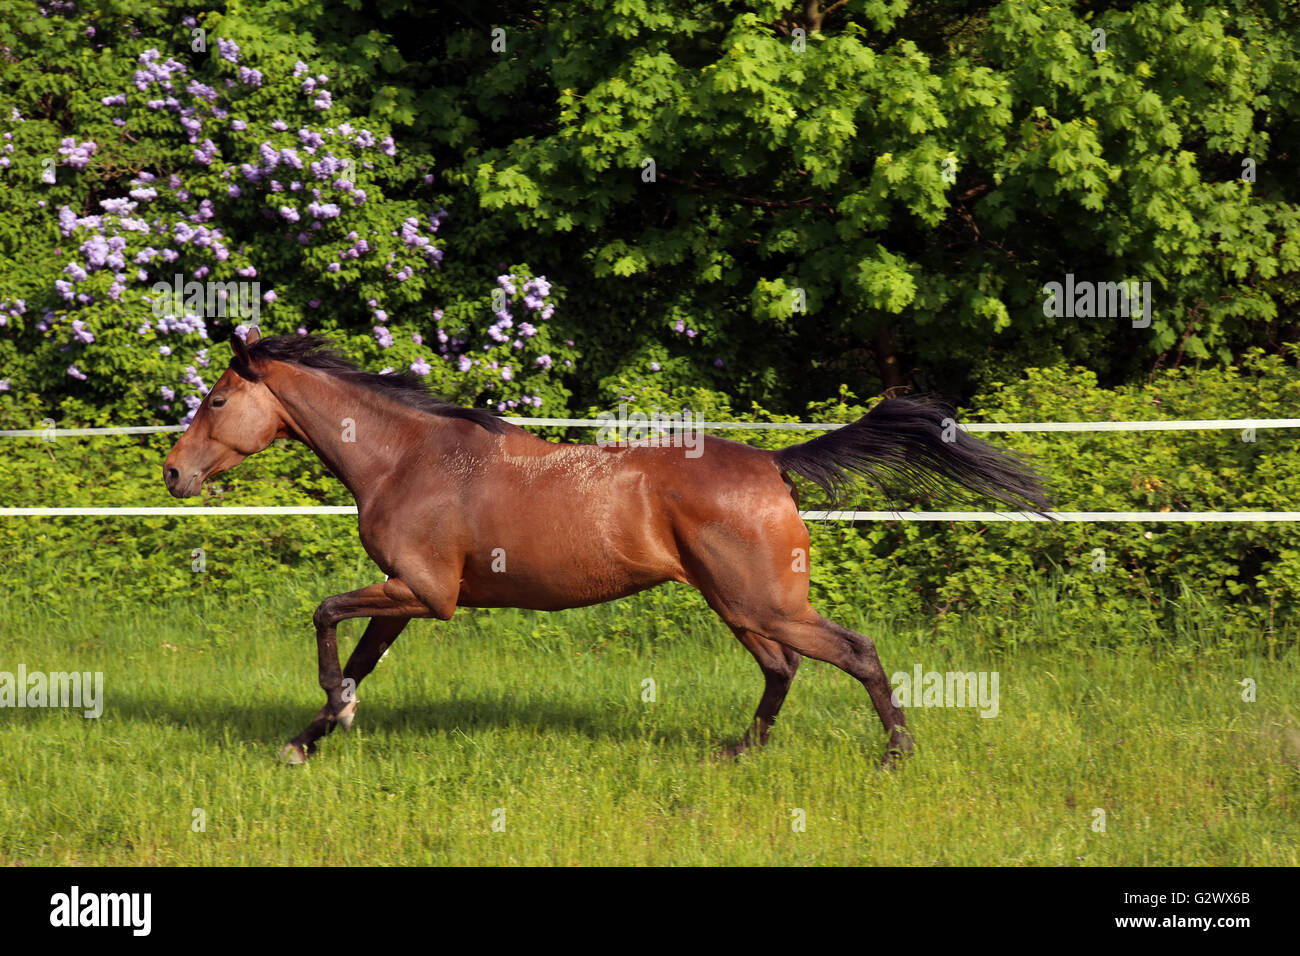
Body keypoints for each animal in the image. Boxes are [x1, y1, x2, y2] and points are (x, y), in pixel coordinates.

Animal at [162, 332, 1050, 764]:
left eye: (216, 400)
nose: (173, 472)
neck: (406, 458)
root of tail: (773, 465)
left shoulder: (425, 594)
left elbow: (324, 619)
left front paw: (327, 720)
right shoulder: (404, 595)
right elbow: (357, 661)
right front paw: (311, 737)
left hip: (763, 601)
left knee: (852, 651)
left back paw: (895, 755)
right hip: (736, 604)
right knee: (781, 669)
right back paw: (739, 753)